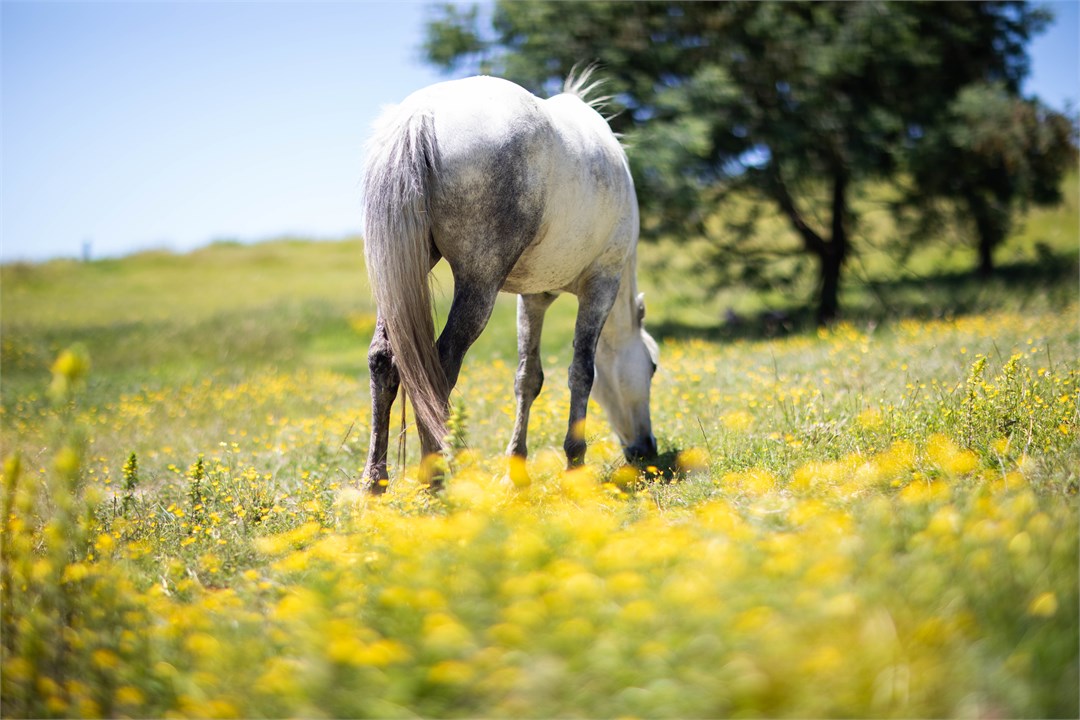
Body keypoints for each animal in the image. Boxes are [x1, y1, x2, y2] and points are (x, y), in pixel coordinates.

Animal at [361, 70, 658, 492]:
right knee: (439, 368)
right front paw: (574, 467)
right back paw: (435, 482)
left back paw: (375, 486)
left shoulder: (534, 297)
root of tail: (420, 116)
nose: (646, 448)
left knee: (383, 361)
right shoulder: (602, 284)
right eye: (652, 367)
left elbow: (527, 378)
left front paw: (516, 471)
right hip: (478, 283)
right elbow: (582, 372)